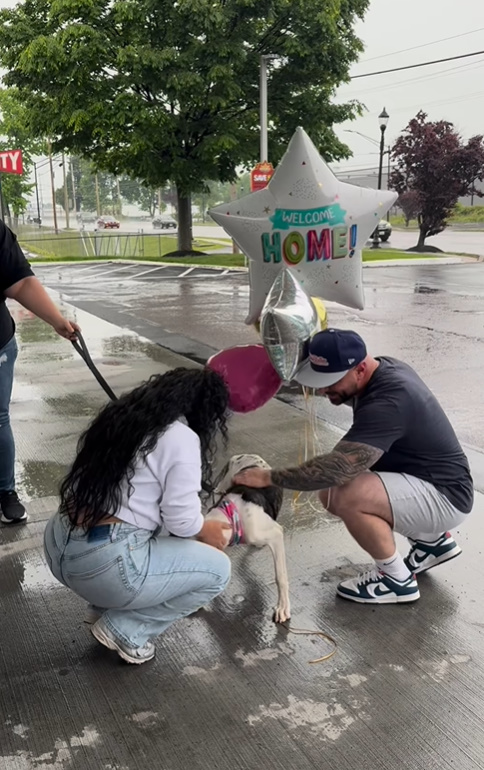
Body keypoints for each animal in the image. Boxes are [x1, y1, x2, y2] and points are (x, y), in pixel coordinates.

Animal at [204, 450, 292, 624]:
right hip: (224, 483)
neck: (233, 515)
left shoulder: (276, 534)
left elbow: (280, 576)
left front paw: (282, 607)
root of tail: (248, 455)